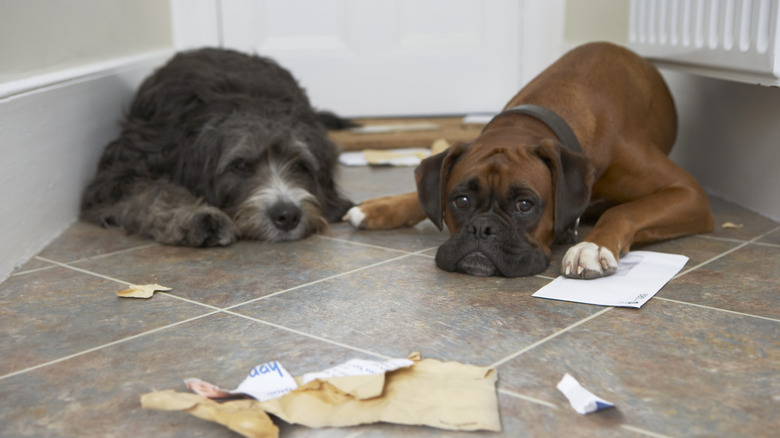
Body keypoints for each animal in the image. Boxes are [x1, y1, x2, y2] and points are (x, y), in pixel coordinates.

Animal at [80, 48, 354, 246]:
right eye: (240, 165)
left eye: (300, 164)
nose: (287, 216)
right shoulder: (117, 175)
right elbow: (152, 192)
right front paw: (198, 217)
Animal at [344, 42, 716, 278]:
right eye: (460, 201)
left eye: (525, 205)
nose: (483, 228)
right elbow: (423, 196)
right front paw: (381, 206)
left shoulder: (689, 192)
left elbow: (624, 211)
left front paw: (592, 246)